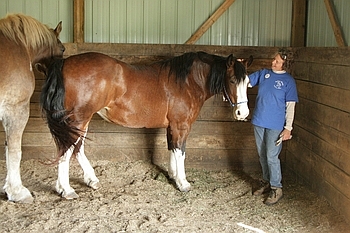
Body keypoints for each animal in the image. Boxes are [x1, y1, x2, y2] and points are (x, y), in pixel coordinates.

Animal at [41, 51, 253, 198]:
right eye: (232, 80)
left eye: (248, 82)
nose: (243, 113)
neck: (187, 82)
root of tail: (64, 63)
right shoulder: (181, 125)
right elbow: (181, 152)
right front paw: (183, 183)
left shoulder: (171, 126)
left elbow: (172, 148)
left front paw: (173, 175)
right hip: (78, 119)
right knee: (67, 150)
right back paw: (66, 189)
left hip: (79, 121)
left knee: (75, 148)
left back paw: (89, 180)